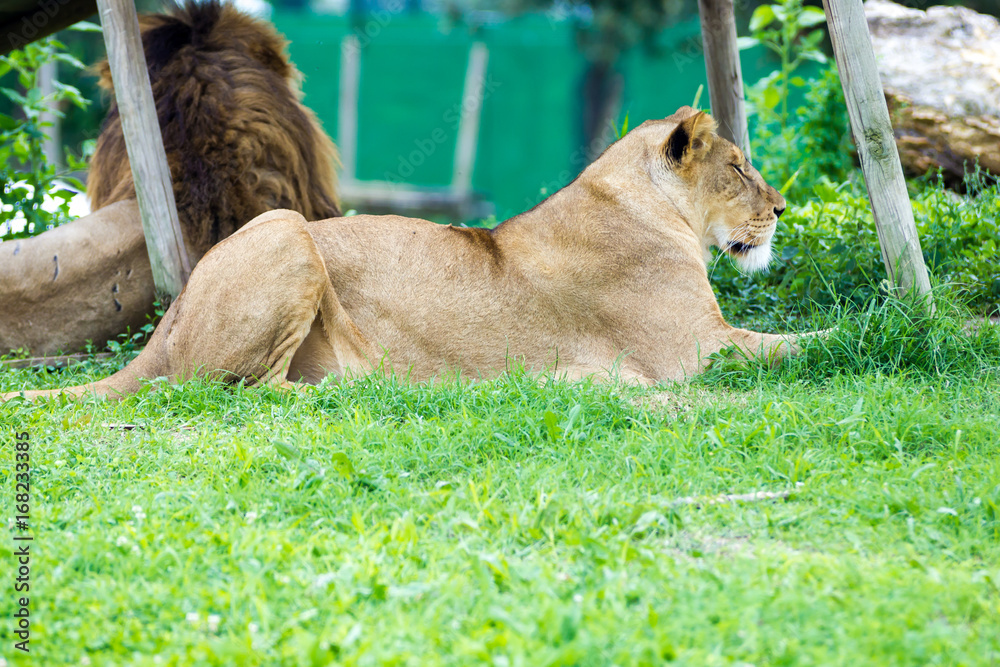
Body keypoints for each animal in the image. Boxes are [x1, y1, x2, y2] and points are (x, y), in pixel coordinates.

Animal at [2, 107, 811, 402]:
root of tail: (170, 318)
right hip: (285, 227)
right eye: (738, 167)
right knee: (230, 391)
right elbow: (803, 344)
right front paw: (845, 333)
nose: (779, 209)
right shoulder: (697, 349)